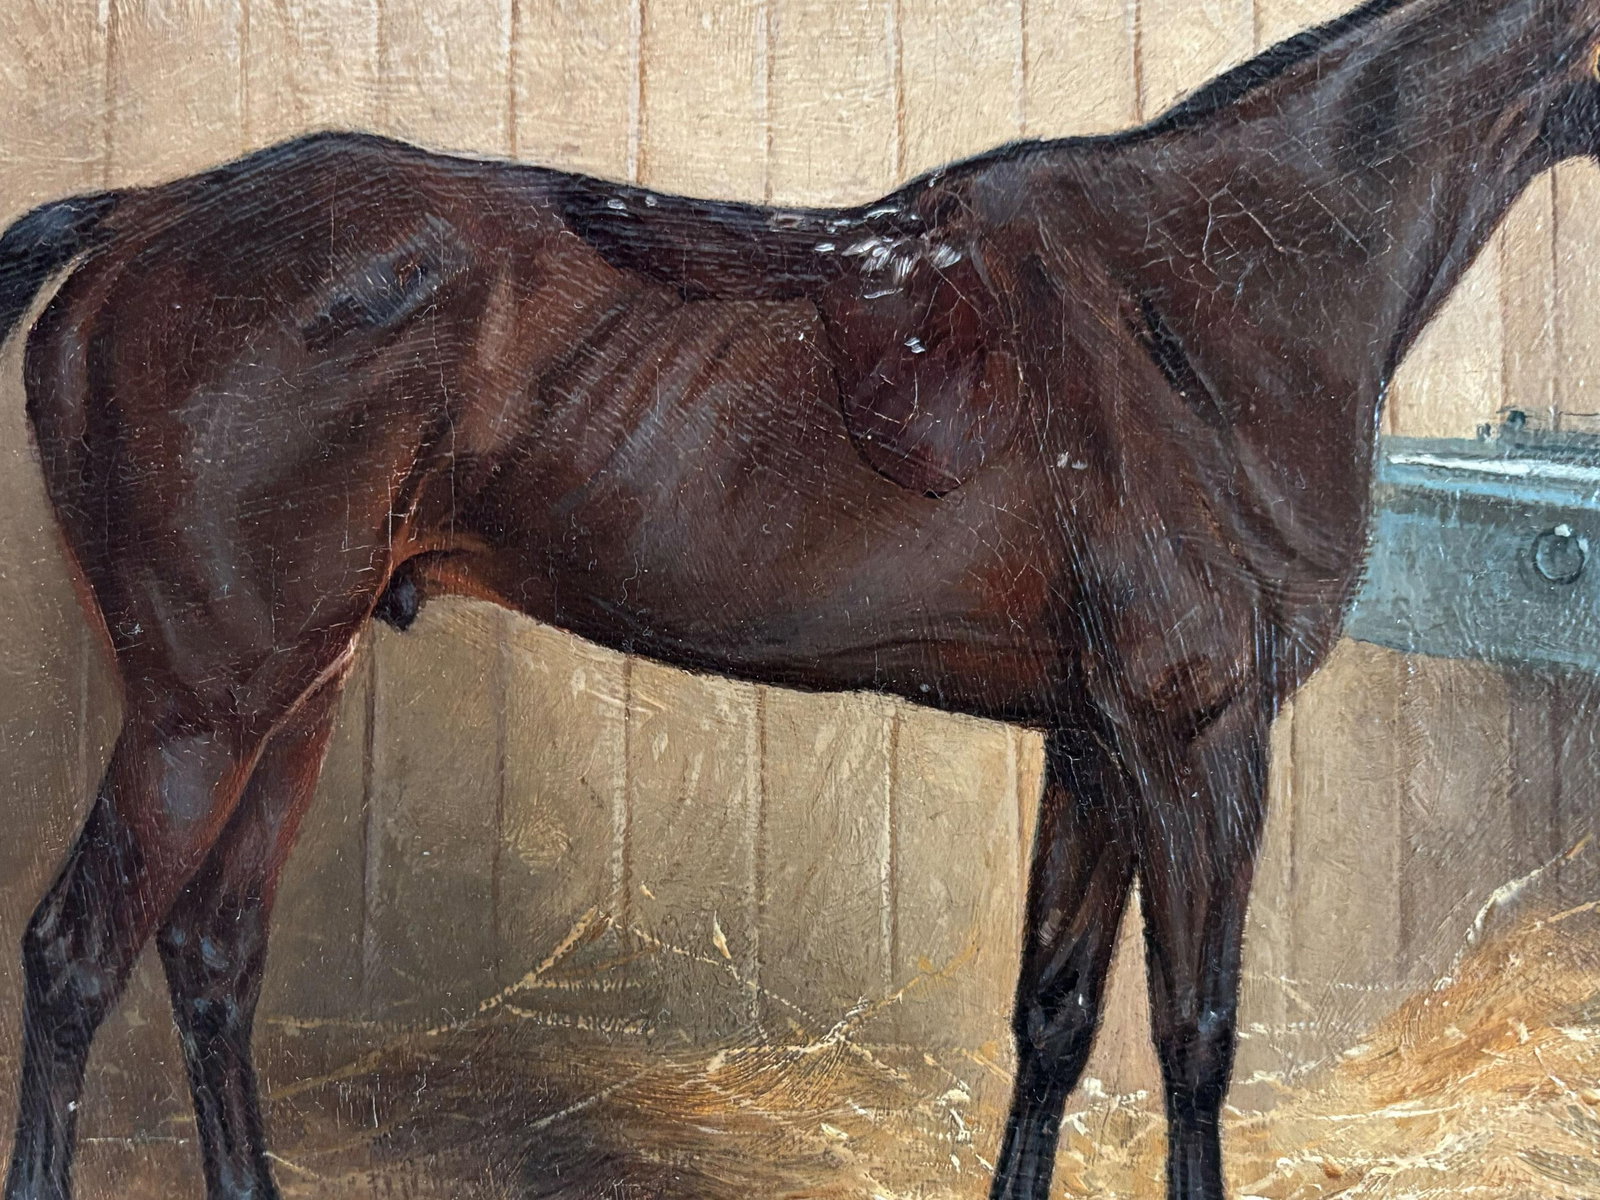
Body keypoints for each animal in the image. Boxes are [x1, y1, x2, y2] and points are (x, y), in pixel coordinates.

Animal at [0, 0, 1595, 1196]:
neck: (1207, 290)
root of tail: (135, 221)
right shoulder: (1197, 734)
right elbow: (1194, 1036)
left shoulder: (1098, 743)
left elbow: (1055, 1018)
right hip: (205, 705)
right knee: (76, 958)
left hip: (297, 693)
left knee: (211, 958)